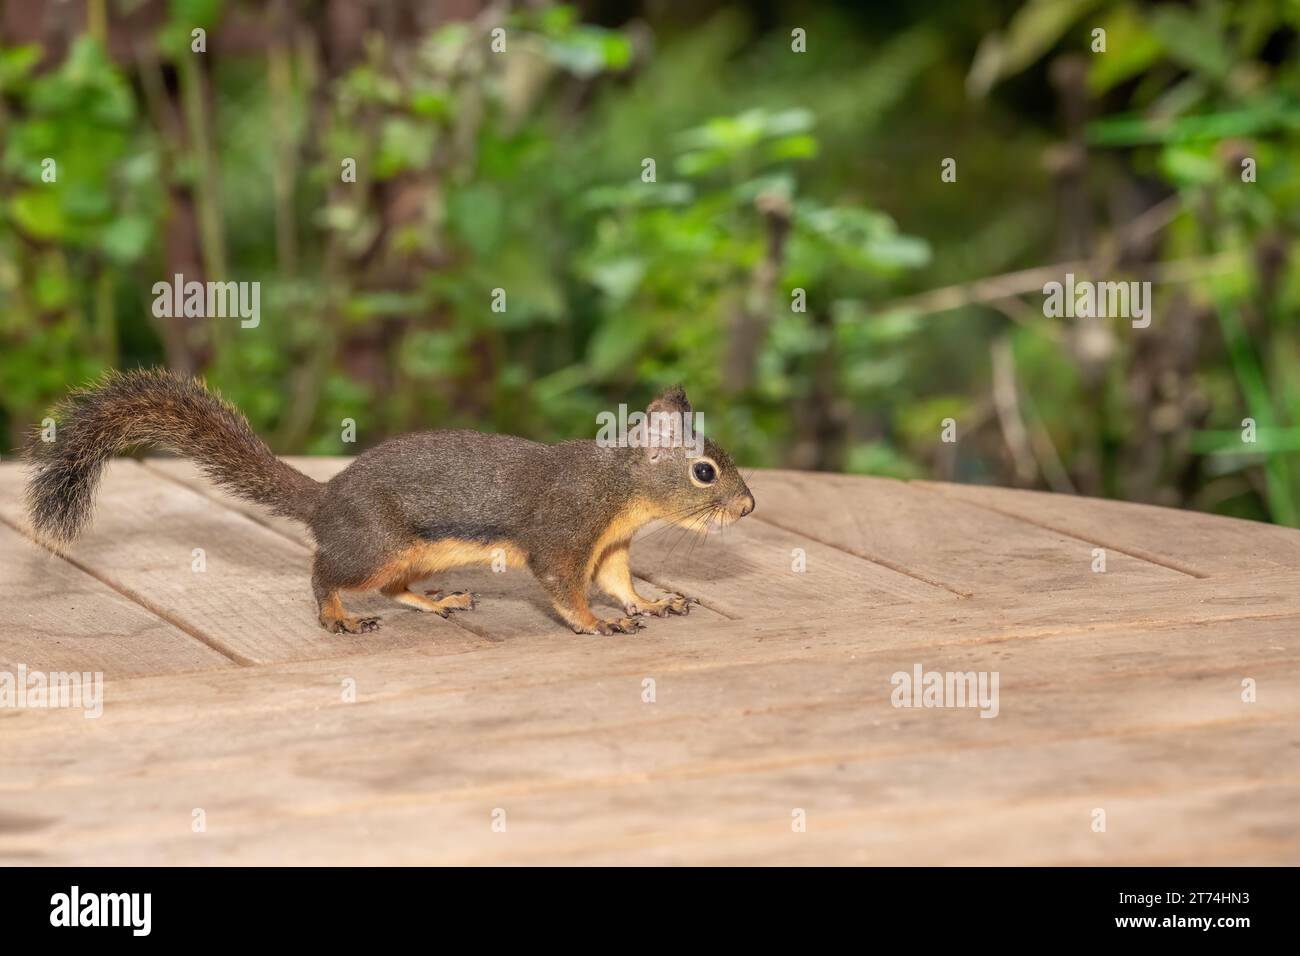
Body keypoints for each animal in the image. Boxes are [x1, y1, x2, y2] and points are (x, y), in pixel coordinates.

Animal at [24, 369, 756, 635]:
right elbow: (565, 589)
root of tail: (326, 500)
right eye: (705, 471)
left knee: (395, 587)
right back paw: (337, 615)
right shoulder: (565, 534)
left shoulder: (610, 546)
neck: (617, 490)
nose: (747, 507)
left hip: (415, 554)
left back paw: (439, 601)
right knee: (329, 573)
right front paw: (595, 624)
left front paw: (651, 604)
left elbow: (619, 583)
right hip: (376, 543)